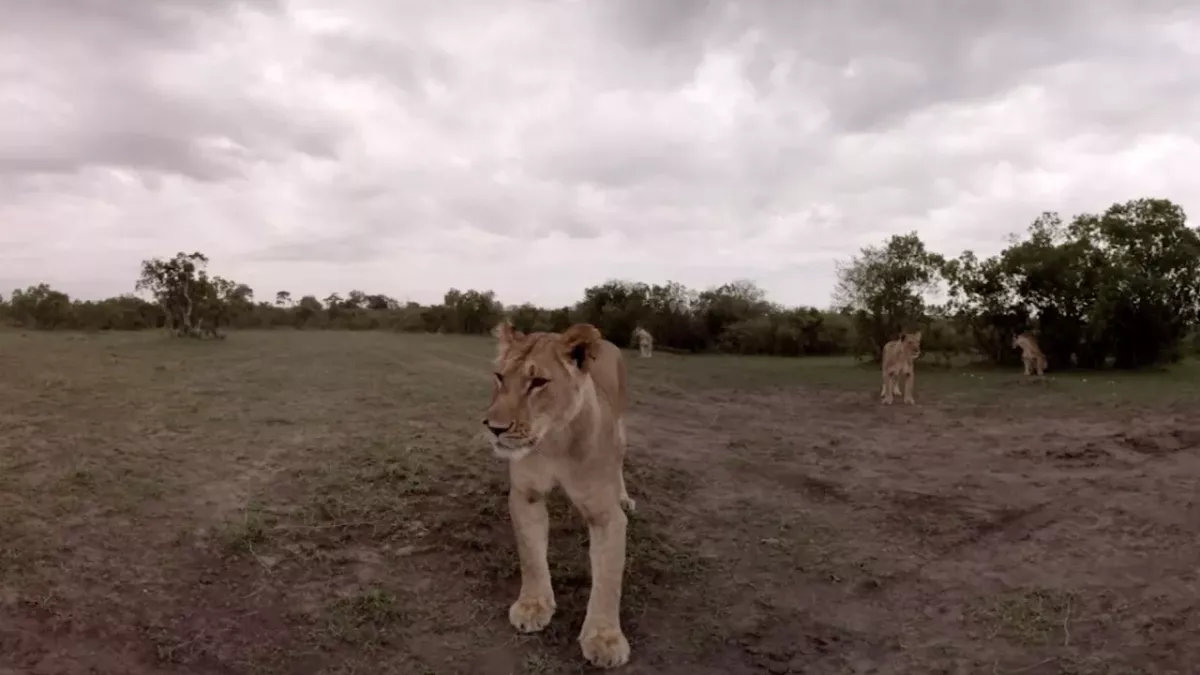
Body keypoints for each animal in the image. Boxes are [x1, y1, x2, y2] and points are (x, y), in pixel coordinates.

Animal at [481, 321, 635, 669]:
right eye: (499, 377)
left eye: (538, 382)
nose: (493, 428)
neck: (554, 441)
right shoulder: (526, 496)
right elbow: (531, 556)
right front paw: (533, 606)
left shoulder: (605, 516)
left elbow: (608, 578)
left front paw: (605, 639)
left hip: (620, 426)